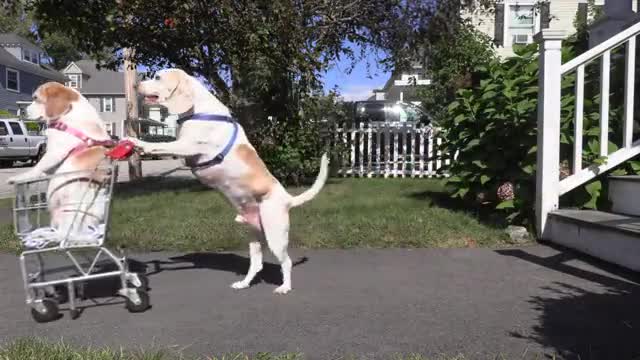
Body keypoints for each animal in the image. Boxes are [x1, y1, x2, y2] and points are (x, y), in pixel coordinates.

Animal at [7, 82, 115, 238]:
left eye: (36, 98)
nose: (22, 111)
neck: (69, 114)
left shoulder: (55, 152)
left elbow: (36, 168)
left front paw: (19, 177)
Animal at [129, 68, 330, 296]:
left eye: (158, 77)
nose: (135, 85)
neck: (199, 109)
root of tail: (288, 199)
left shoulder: (187, 146)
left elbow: (159, 145)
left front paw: (136, 142)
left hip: (275, 236)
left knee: (285, 262)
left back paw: (284, 287)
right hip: (255, 235)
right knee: (257, 264)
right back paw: (244, 283)